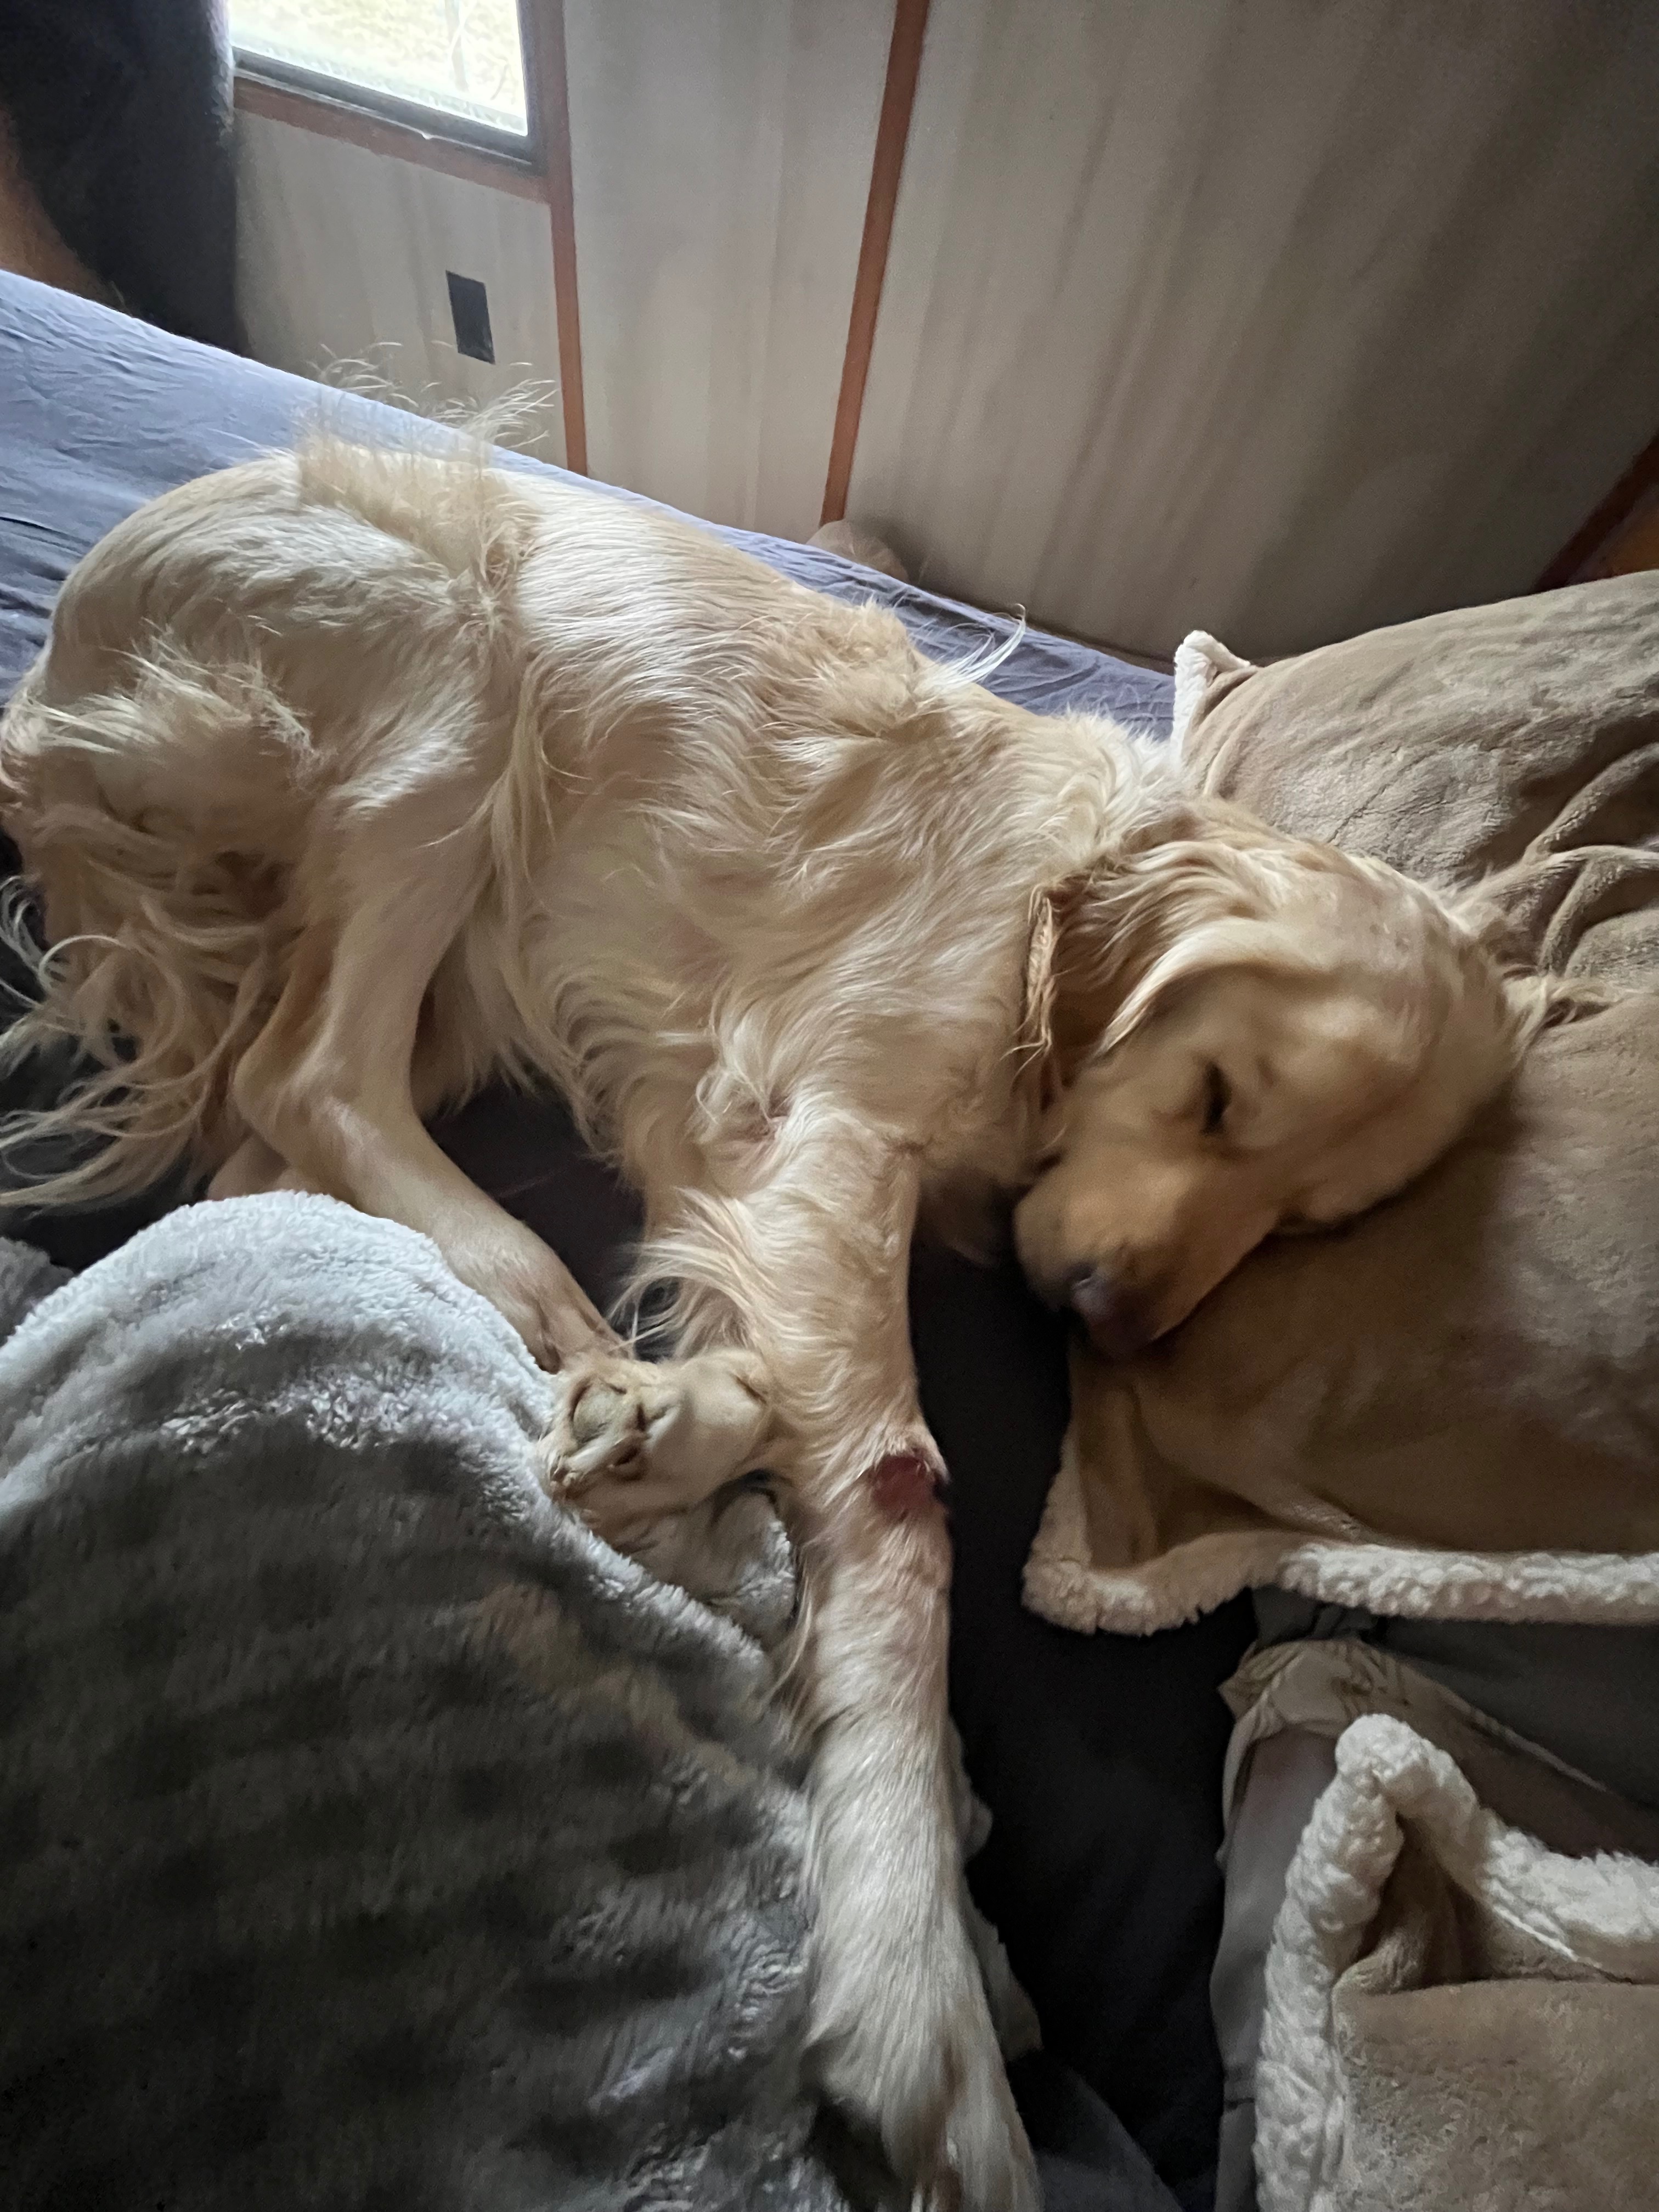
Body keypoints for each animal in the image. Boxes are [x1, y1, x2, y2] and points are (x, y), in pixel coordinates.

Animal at [0, 436, 1542, 2208]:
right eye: (1217, 1098)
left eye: (1307, 1225)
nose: (1103, 1315)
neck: (1049, 917)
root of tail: (56, 667)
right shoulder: (832, 1136)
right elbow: (900, 1491)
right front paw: (920, 1983)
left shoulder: (726, 1138)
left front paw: (678, 1433)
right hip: (451, 663)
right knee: (304, 1077)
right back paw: (537, 1297)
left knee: (265, 1165)